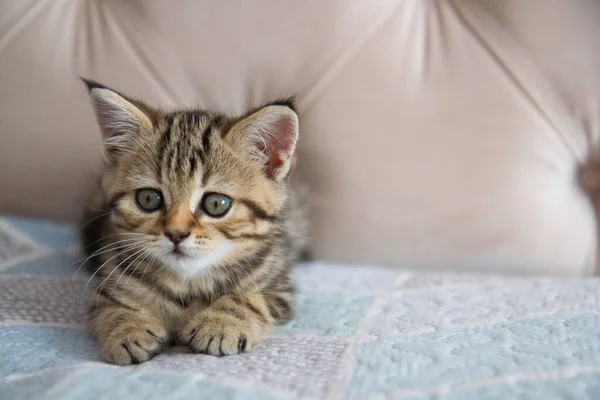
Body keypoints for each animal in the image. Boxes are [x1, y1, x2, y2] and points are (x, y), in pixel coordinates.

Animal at [79, 79, 308, 366]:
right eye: (148, 198)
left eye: (216, 204)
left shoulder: (279, 288)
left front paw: (220, 324)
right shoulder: (109, 282)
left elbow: (248, 299)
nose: (176, 234)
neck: (187, 283)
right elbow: (110, 306)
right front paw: (128, 328)